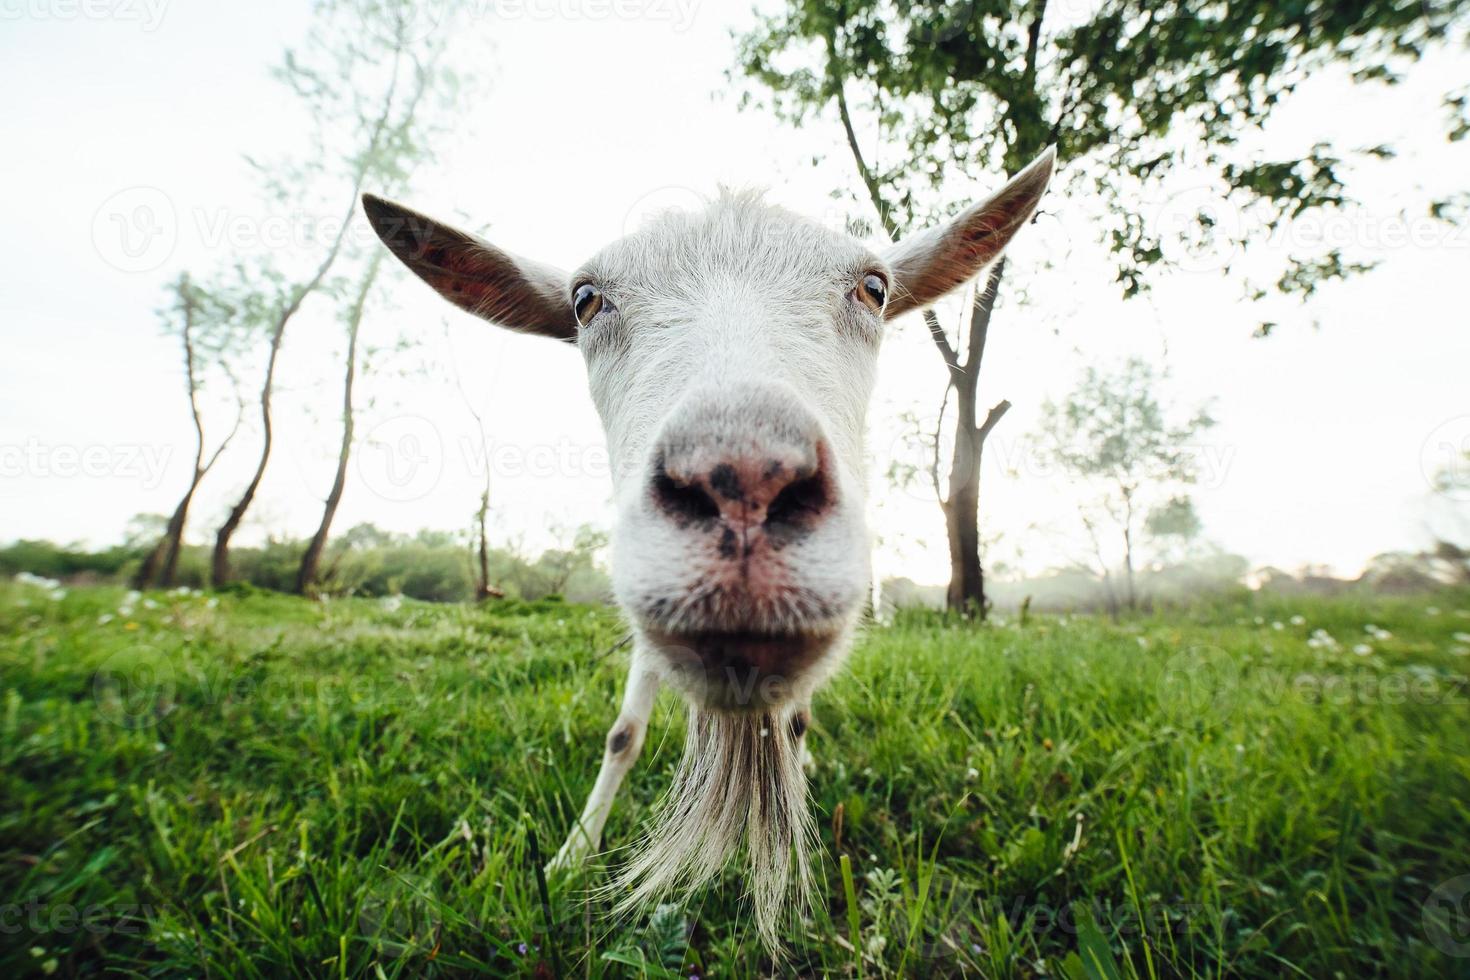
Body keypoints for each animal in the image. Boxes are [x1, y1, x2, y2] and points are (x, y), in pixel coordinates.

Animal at [367, 149, 1058, 946]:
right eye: (585, 300)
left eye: (874, 288)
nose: (744, 483)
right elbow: (622, 734)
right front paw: (571, 859)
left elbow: (796, 719)